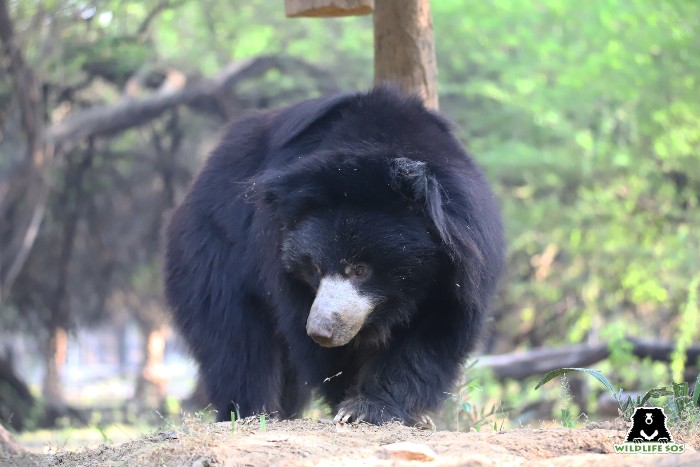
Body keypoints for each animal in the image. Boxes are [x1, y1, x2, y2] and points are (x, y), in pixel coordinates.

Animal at [164, 86, 504, 426]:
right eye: (314, 269)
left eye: (361, 270)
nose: (322, 330)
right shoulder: (277, 253)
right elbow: (315, 345)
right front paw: (349, 401)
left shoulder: (454, 268)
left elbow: (435, 332)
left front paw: (370, 407)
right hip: (213, 253)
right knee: (236, 342)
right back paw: (251, 412)